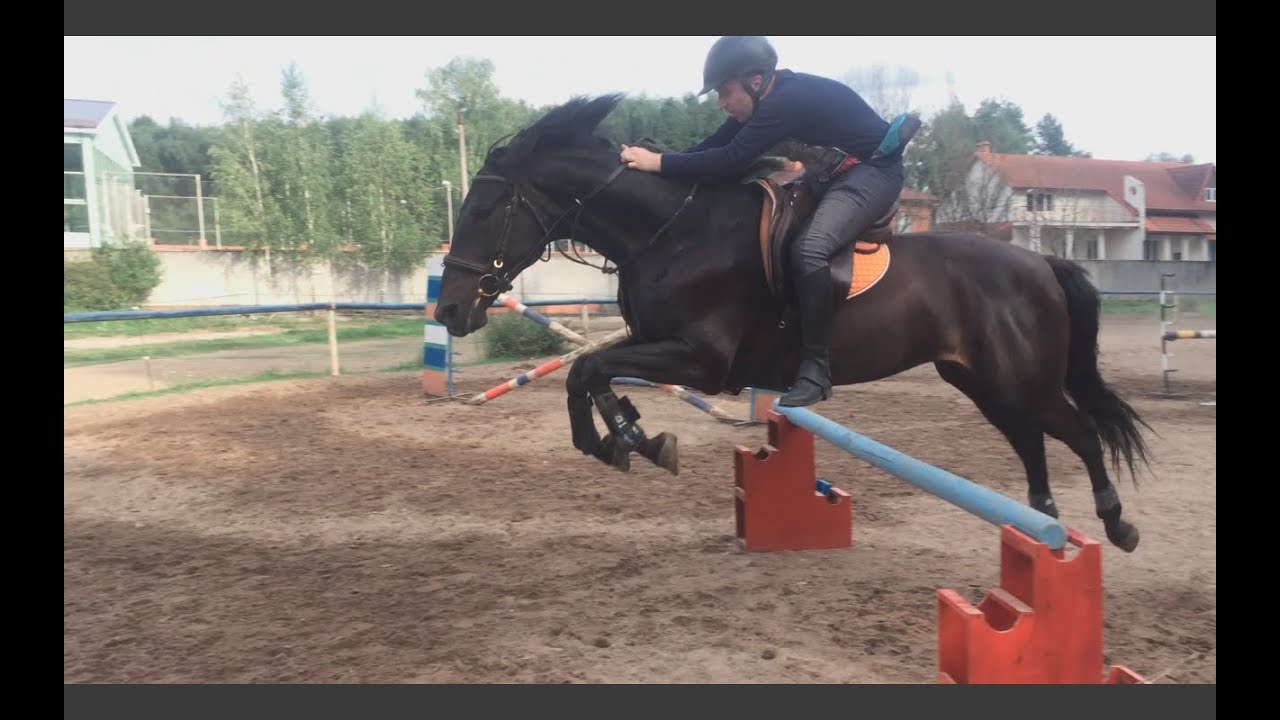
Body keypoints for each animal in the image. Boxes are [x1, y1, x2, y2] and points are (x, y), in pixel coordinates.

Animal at [433, 94, 1154, 553]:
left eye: (486, 207)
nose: (448, 309)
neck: (671, 233)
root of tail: (1040, 262)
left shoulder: (703, 358)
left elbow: (589, 368)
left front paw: (626, 440)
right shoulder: (655, 343)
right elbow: (587, 372)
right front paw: (630, 438)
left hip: (1020, 380)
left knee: (1080, 433)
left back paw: (1113, 525)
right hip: (981, 382)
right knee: (1032, 440)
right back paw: (1043, 524)